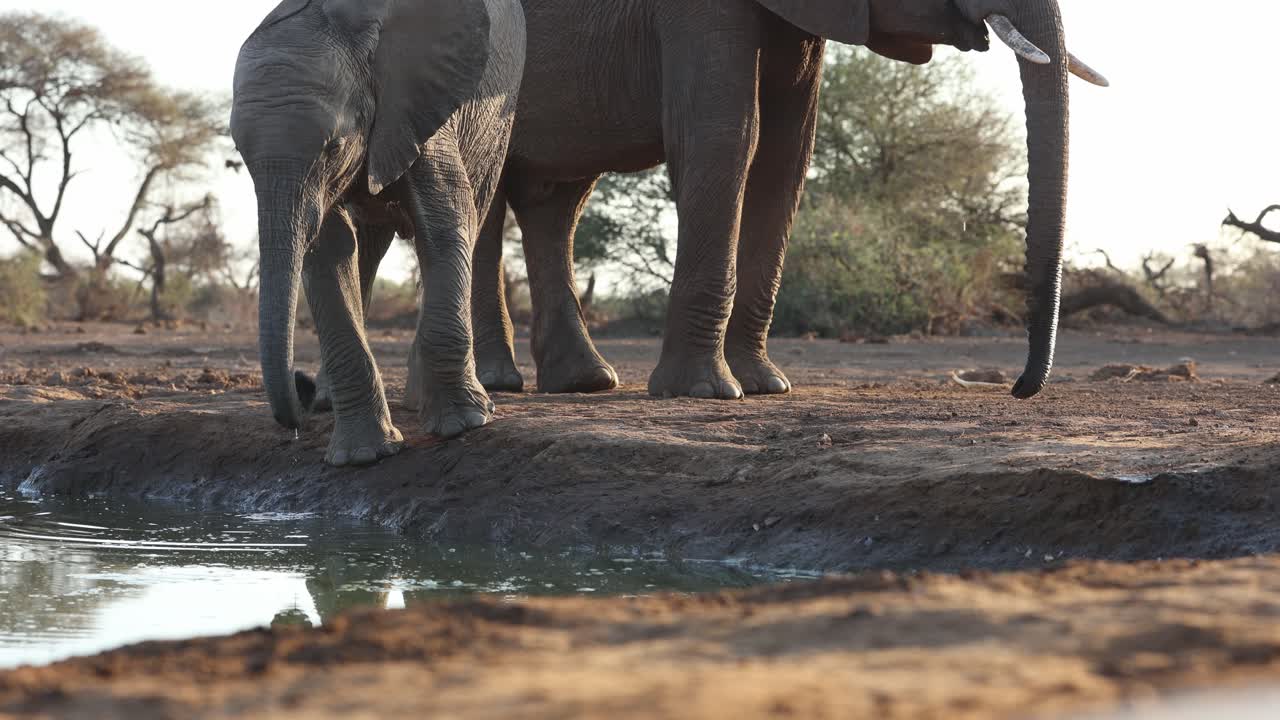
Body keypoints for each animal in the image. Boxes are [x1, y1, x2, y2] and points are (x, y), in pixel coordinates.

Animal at [230, 0, 526, 466]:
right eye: (239, 152)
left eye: (333, 146)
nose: (295, 419)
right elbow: (329, 254)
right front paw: (362, 456)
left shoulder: (416, 104)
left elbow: (445, 221)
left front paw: (462, 425)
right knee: (366, 249)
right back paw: (330, 402)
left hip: (498, 117)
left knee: (472, 213)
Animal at [455, 0, 1106, 400]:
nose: (1019, 387)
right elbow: (725, 137)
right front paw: (704, 393)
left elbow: (785, 154)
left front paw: (766, 386)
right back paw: (499, 383)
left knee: (557, 199)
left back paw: (584, 382)